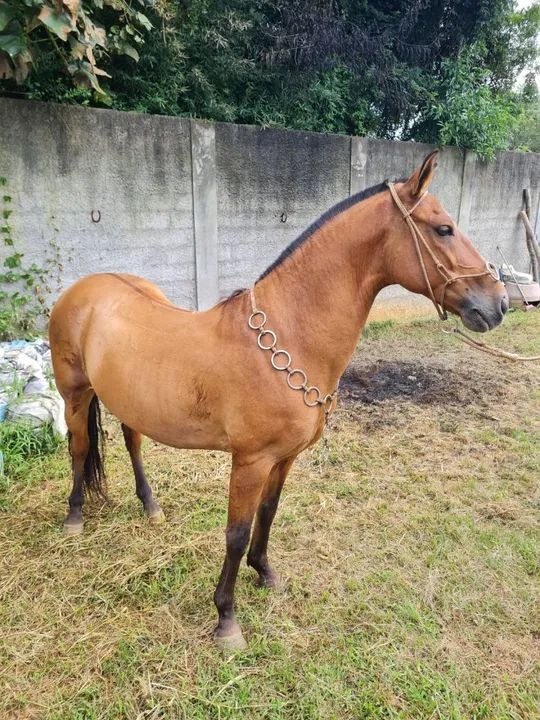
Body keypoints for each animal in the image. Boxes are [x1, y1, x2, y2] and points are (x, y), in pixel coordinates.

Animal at [49, 151, 508, 651]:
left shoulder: (283, 458)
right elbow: (236, 532)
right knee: (78, 448)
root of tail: (82, 290)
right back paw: (74, 517)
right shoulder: (250, 461)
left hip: (126, 400)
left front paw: (265, 573)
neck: (289, 337)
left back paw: (150, 507)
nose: (499, 303)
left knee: (132, 442)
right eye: (443, 229)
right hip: (74, 394)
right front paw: (226, 619)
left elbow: (268, 514)